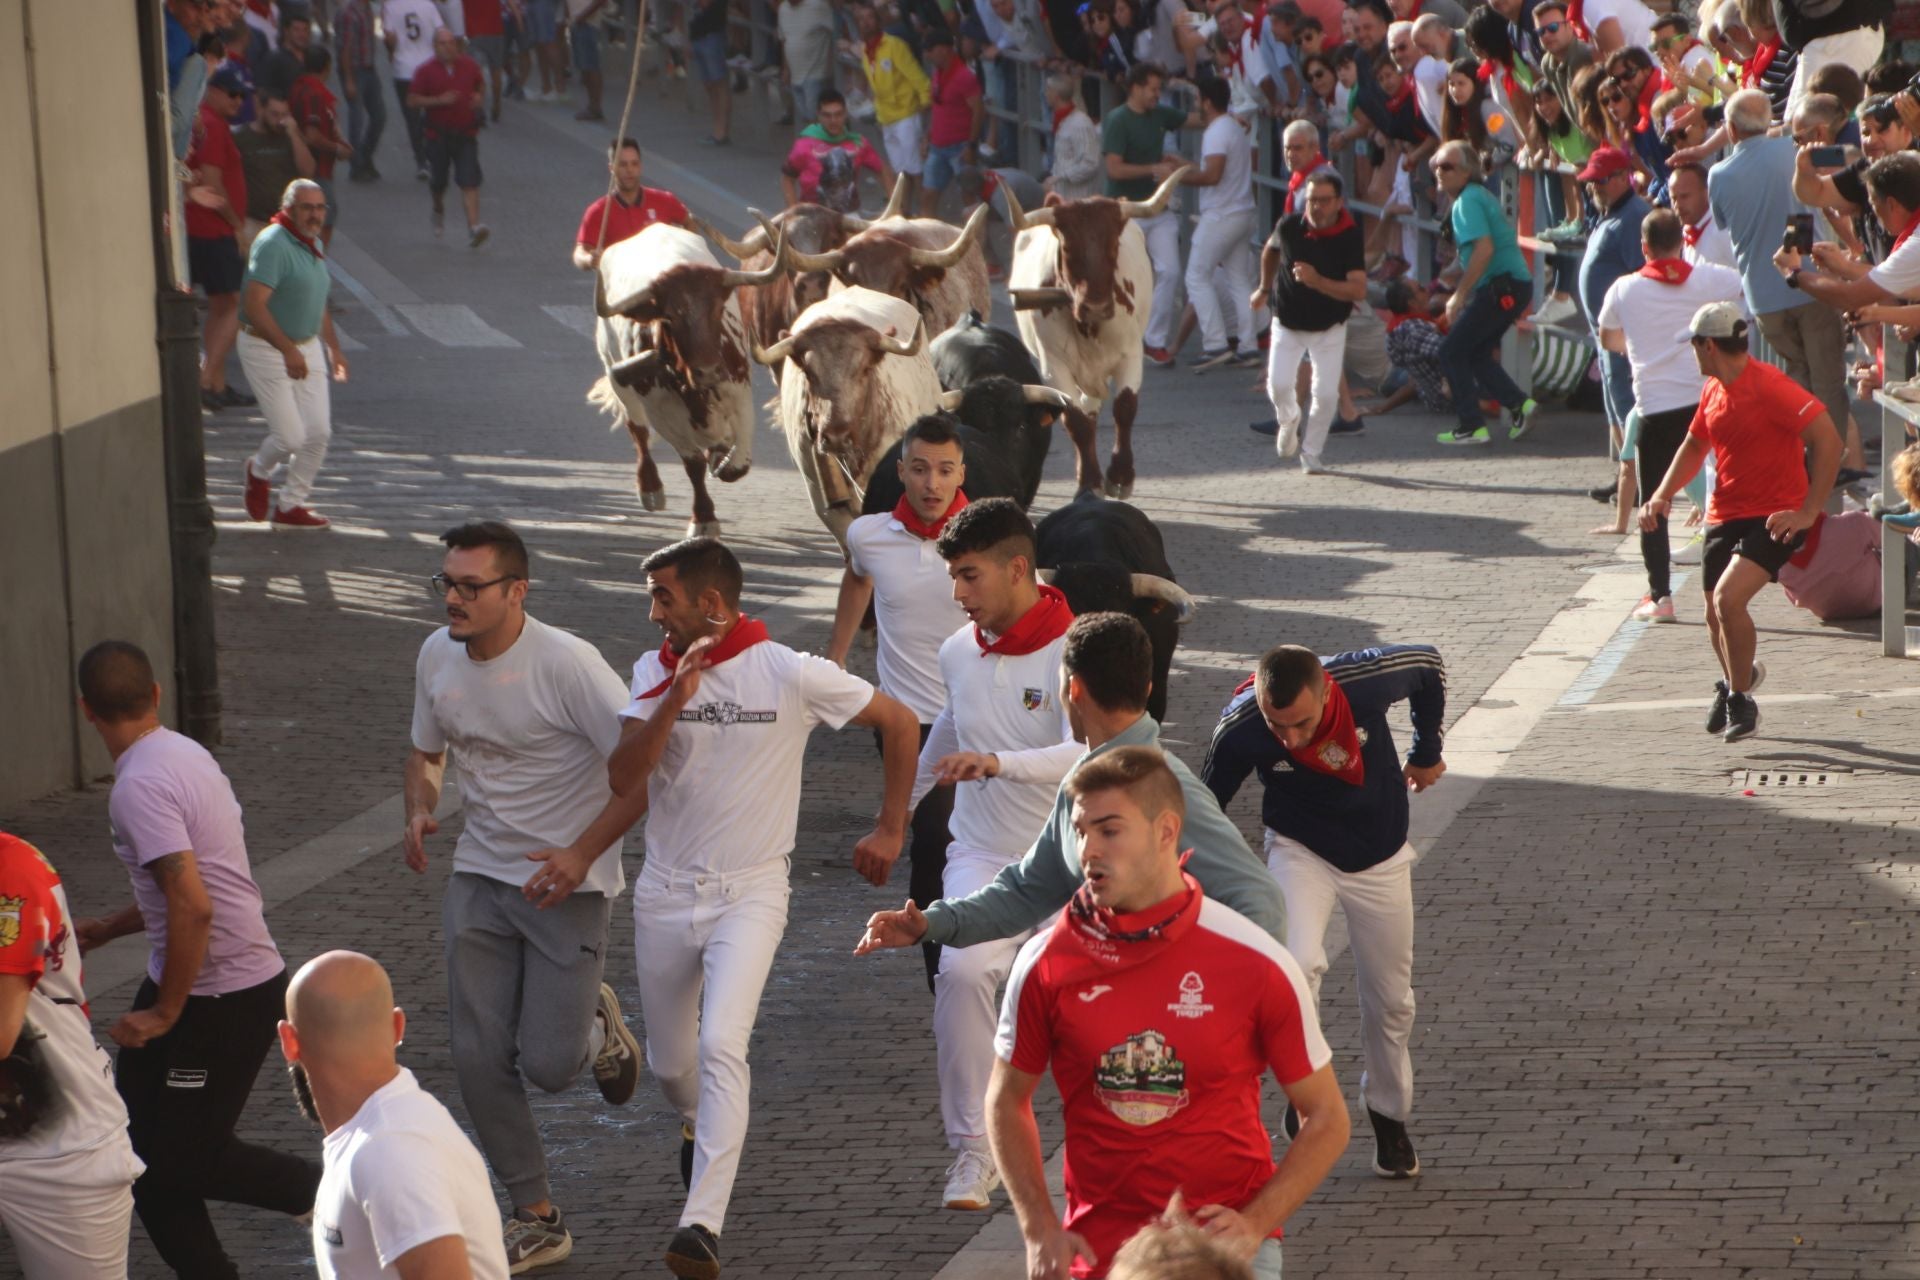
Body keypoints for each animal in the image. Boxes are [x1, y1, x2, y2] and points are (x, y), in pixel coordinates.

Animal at [591, 225, 787, 537]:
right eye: (669, 316)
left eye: (718, 308)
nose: (707, 370)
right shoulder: (662, 414)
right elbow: (693, 464)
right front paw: (704, 518)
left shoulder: (739, 393)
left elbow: (738, 460)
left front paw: (724, 458)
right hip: (616, 375)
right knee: (638, 429)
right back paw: (650, 488)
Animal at [1006, 165, 1182, 495]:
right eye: (1066, 246)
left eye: (1114, 244)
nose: (1096, 306)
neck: (1089, 327)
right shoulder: (1054, 366)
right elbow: (1076, 421)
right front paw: (1089, 480)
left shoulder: (1131, 355)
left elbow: (1125, 408)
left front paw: (1120, 475)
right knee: (1086, 413)